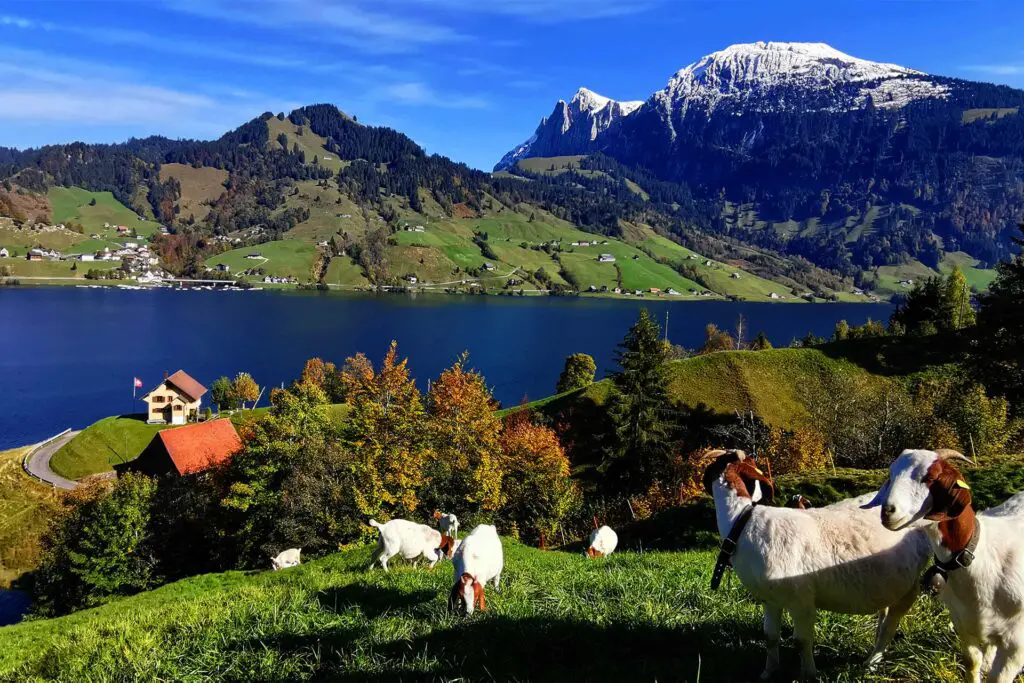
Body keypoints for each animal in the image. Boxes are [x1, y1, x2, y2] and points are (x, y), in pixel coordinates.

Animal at [704, 450, 937, 679]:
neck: (742, 522)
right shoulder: (770, 600)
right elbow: (770, 637)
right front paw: (768, 672)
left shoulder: (801, 599)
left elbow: (801, 641)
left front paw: (808, 674)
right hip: (891, 581)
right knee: (885, 615)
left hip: (911, 585)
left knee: (890, 625)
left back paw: (871, 663)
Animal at [864, 448, 1024, 683]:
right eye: (890, 476)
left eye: (930, 478)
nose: (888, 511)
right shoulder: (964, 625)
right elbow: (972, 663)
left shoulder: (1016, 644)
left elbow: (997, 678)